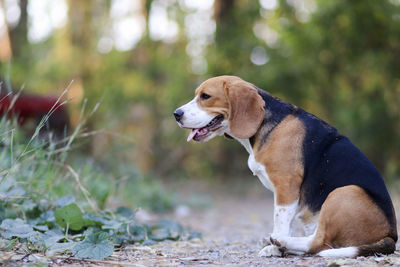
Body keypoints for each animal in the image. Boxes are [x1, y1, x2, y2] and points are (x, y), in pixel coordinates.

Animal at [175, 75, 396, 258]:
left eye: (206, 96)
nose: (176, 114)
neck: (264, 126)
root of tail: (391, 236)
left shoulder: (286, 187)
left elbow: (280, 221)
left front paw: (275, 248)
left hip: (345, 191)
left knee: (319, 243)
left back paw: (281, 242)